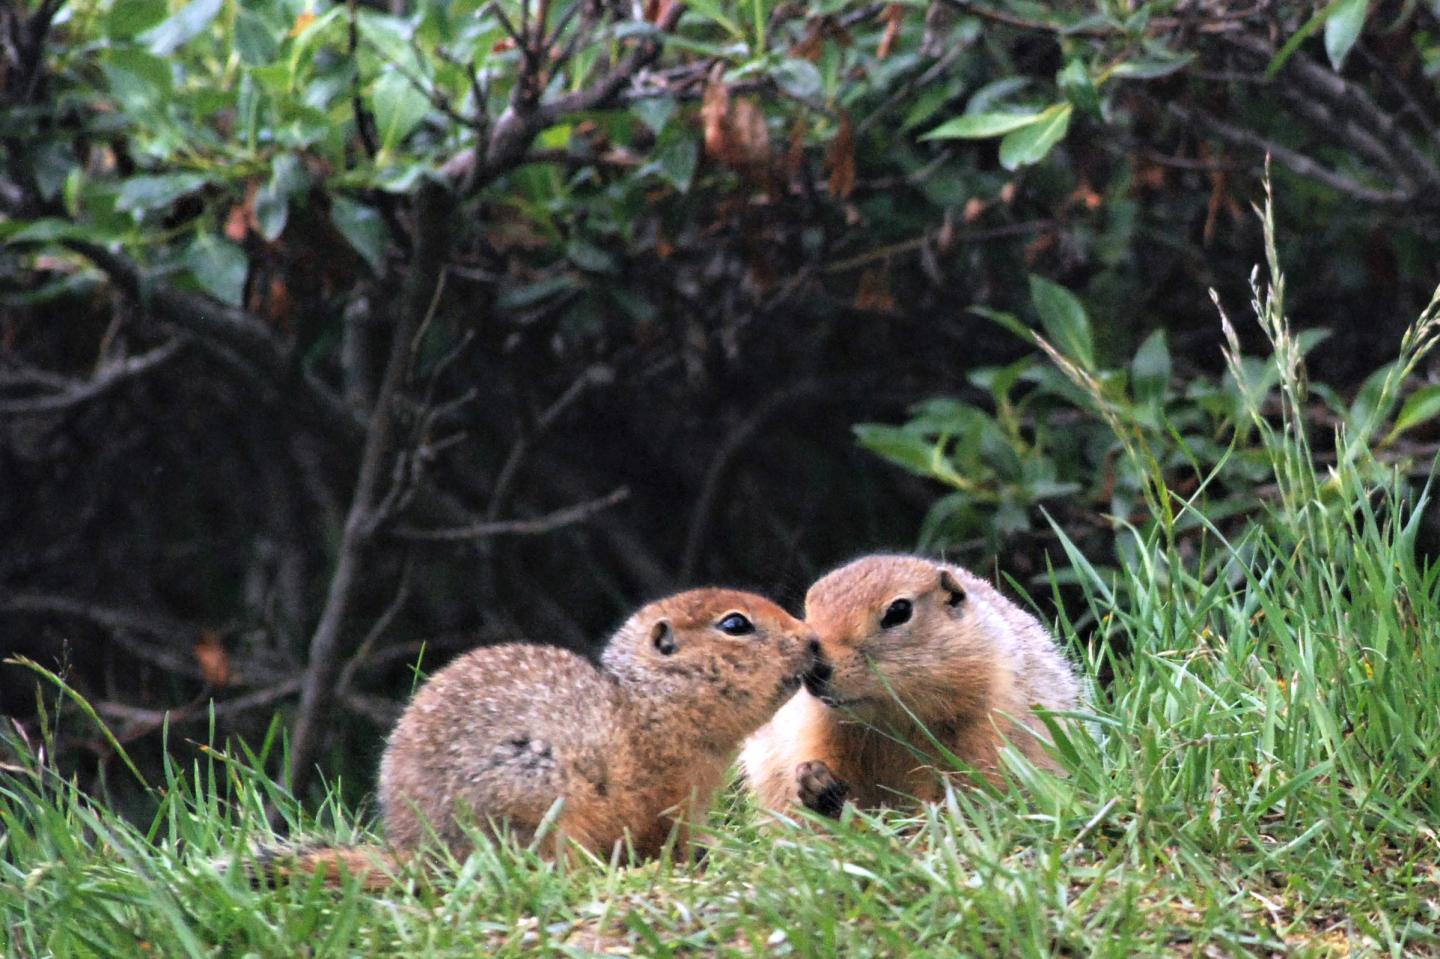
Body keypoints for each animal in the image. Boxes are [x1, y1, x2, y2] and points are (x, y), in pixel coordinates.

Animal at [250, 587, 823, 887]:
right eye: (735, 625)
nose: (812, 639)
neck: (651, 706)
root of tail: (419, 858)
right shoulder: (669, 797)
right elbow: (667, 839)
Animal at [743, 552, 1082, 812]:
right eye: (808, 608)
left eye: (899, 610)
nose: (813, 671)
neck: (890, 720)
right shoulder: (813, 724)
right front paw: (815, 781)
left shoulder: (989, 717)